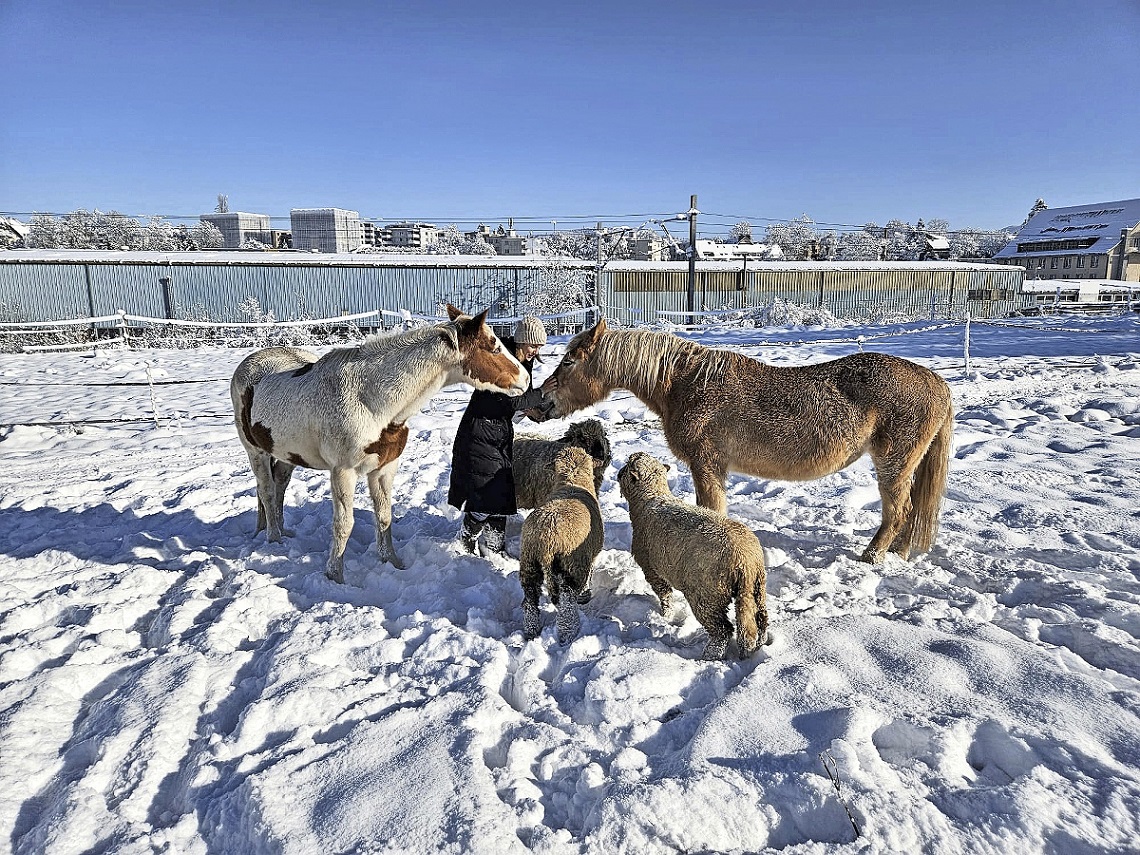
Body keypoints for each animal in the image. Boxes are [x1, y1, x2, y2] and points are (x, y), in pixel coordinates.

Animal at [230, 305, 529, 582]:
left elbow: (384, 516)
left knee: (279, 487)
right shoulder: (343, 473)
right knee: (267, 492)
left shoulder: (385, 468)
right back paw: (274, 538)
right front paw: (335, 576)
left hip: (285, 455)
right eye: (494, 347)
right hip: (256, 452)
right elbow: (344, 524)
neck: (370, 401)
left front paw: (392, 562)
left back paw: (281, 531)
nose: (525, 380)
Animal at [519, 446, 604, 644]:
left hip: (528, 562)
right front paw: (586, 595)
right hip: (572, 564)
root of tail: (546, 541)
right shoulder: (590, 556)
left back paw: (531, 631)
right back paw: (569, 633)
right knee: (567, 601)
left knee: (530, 600)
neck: (572, 481)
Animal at [541, 319, 953, 563]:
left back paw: (873, 555)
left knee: (899, 512)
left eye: (569, 362)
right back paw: (899, 553)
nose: (540, 399)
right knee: (910, 512)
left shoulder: (706, 465)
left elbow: (711, 509)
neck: (686, 383)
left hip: (893, 464)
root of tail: (936, 382)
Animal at [617, 451, 770, 660]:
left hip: (707, 596)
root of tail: (745, 560)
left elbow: (664, 594)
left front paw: (666, 615)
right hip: (758, 587)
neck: (651, 498)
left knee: (723, 630)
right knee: (761, 619)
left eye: (627, 466)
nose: (618, 473)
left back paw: (710, 655)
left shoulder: (652, 568)